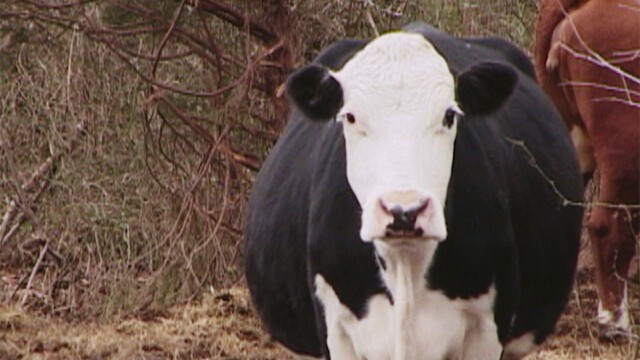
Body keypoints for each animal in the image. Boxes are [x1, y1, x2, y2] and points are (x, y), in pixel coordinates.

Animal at [242, 22, 584, 360]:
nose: (403, 210)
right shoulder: (334, 328)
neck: (405, 267)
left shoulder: (489, 328)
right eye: (350, 117)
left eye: (449, 115)